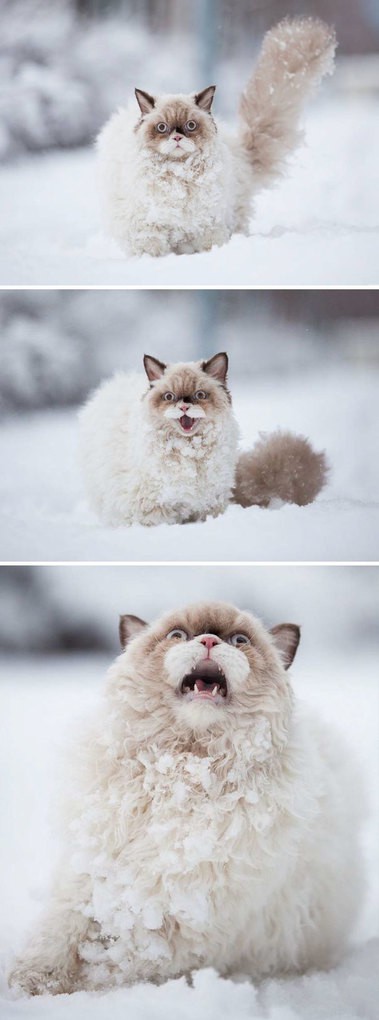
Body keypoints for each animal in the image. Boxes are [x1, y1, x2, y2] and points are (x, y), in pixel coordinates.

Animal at [10, 595, 362, 995]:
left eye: (240, 640)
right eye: (178, 635)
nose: (209, 640)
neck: (183, 773)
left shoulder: (185, 913)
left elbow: (120, 958)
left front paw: (80, 984)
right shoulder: (91, 877)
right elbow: (59, 933)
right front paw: (31, 983)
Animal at [78, 350, 328, 526]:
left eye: (199, 395)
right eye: (169, 397)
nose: (184, 406)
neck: (190, 451)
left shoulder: (208, 505)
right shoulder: (153, 511)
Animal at [96, 17, 334, 257]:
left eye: (191, 125)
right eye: (162, 127)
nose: (177, 137)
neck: (179, 175)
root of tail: (241, 153)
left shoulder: (207, 226)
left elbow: (210, 246)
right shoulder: (146, 229)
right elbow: (152, 249)